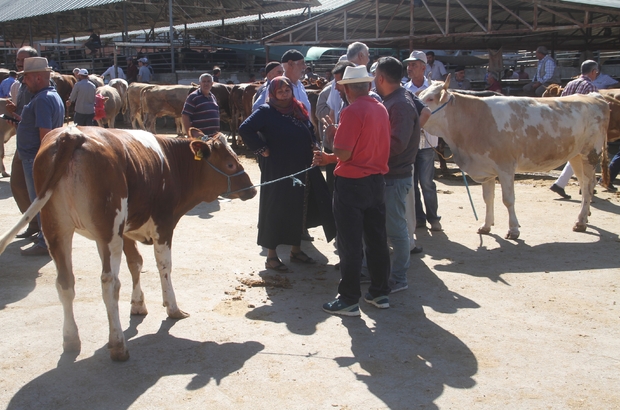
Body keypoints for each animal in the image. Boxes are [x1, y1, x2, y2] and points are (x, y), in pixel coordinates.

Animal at [0, 126, 256, 360]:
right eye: (230, 164)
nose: (253, 189)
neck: (172, 165)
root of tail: (71, 134)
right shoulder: (163, 224)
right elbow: (164, 266)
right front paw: (172, 308)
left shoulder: (126, 231)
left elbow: (135, 263)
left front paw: (138, 304)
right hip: (106, 230)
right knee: (109, 283)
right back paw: (118, 345)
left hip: (57, 229)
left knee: (65, 283)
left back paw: (71, 339)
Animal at [418, 77, 608, 239]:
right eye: (420, 95)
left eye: (430, 99)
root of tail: (594, 97)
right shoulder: (485, 167)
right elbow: (488, 198)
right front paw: (486, 226)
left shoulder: (506, 166)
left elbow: (508, 200)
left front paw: (513, 229)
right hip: (576, 155)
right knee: (584, 183)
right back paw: (584, 217)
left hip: (590, 153)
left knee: (589, 185)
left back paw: (581, 221)